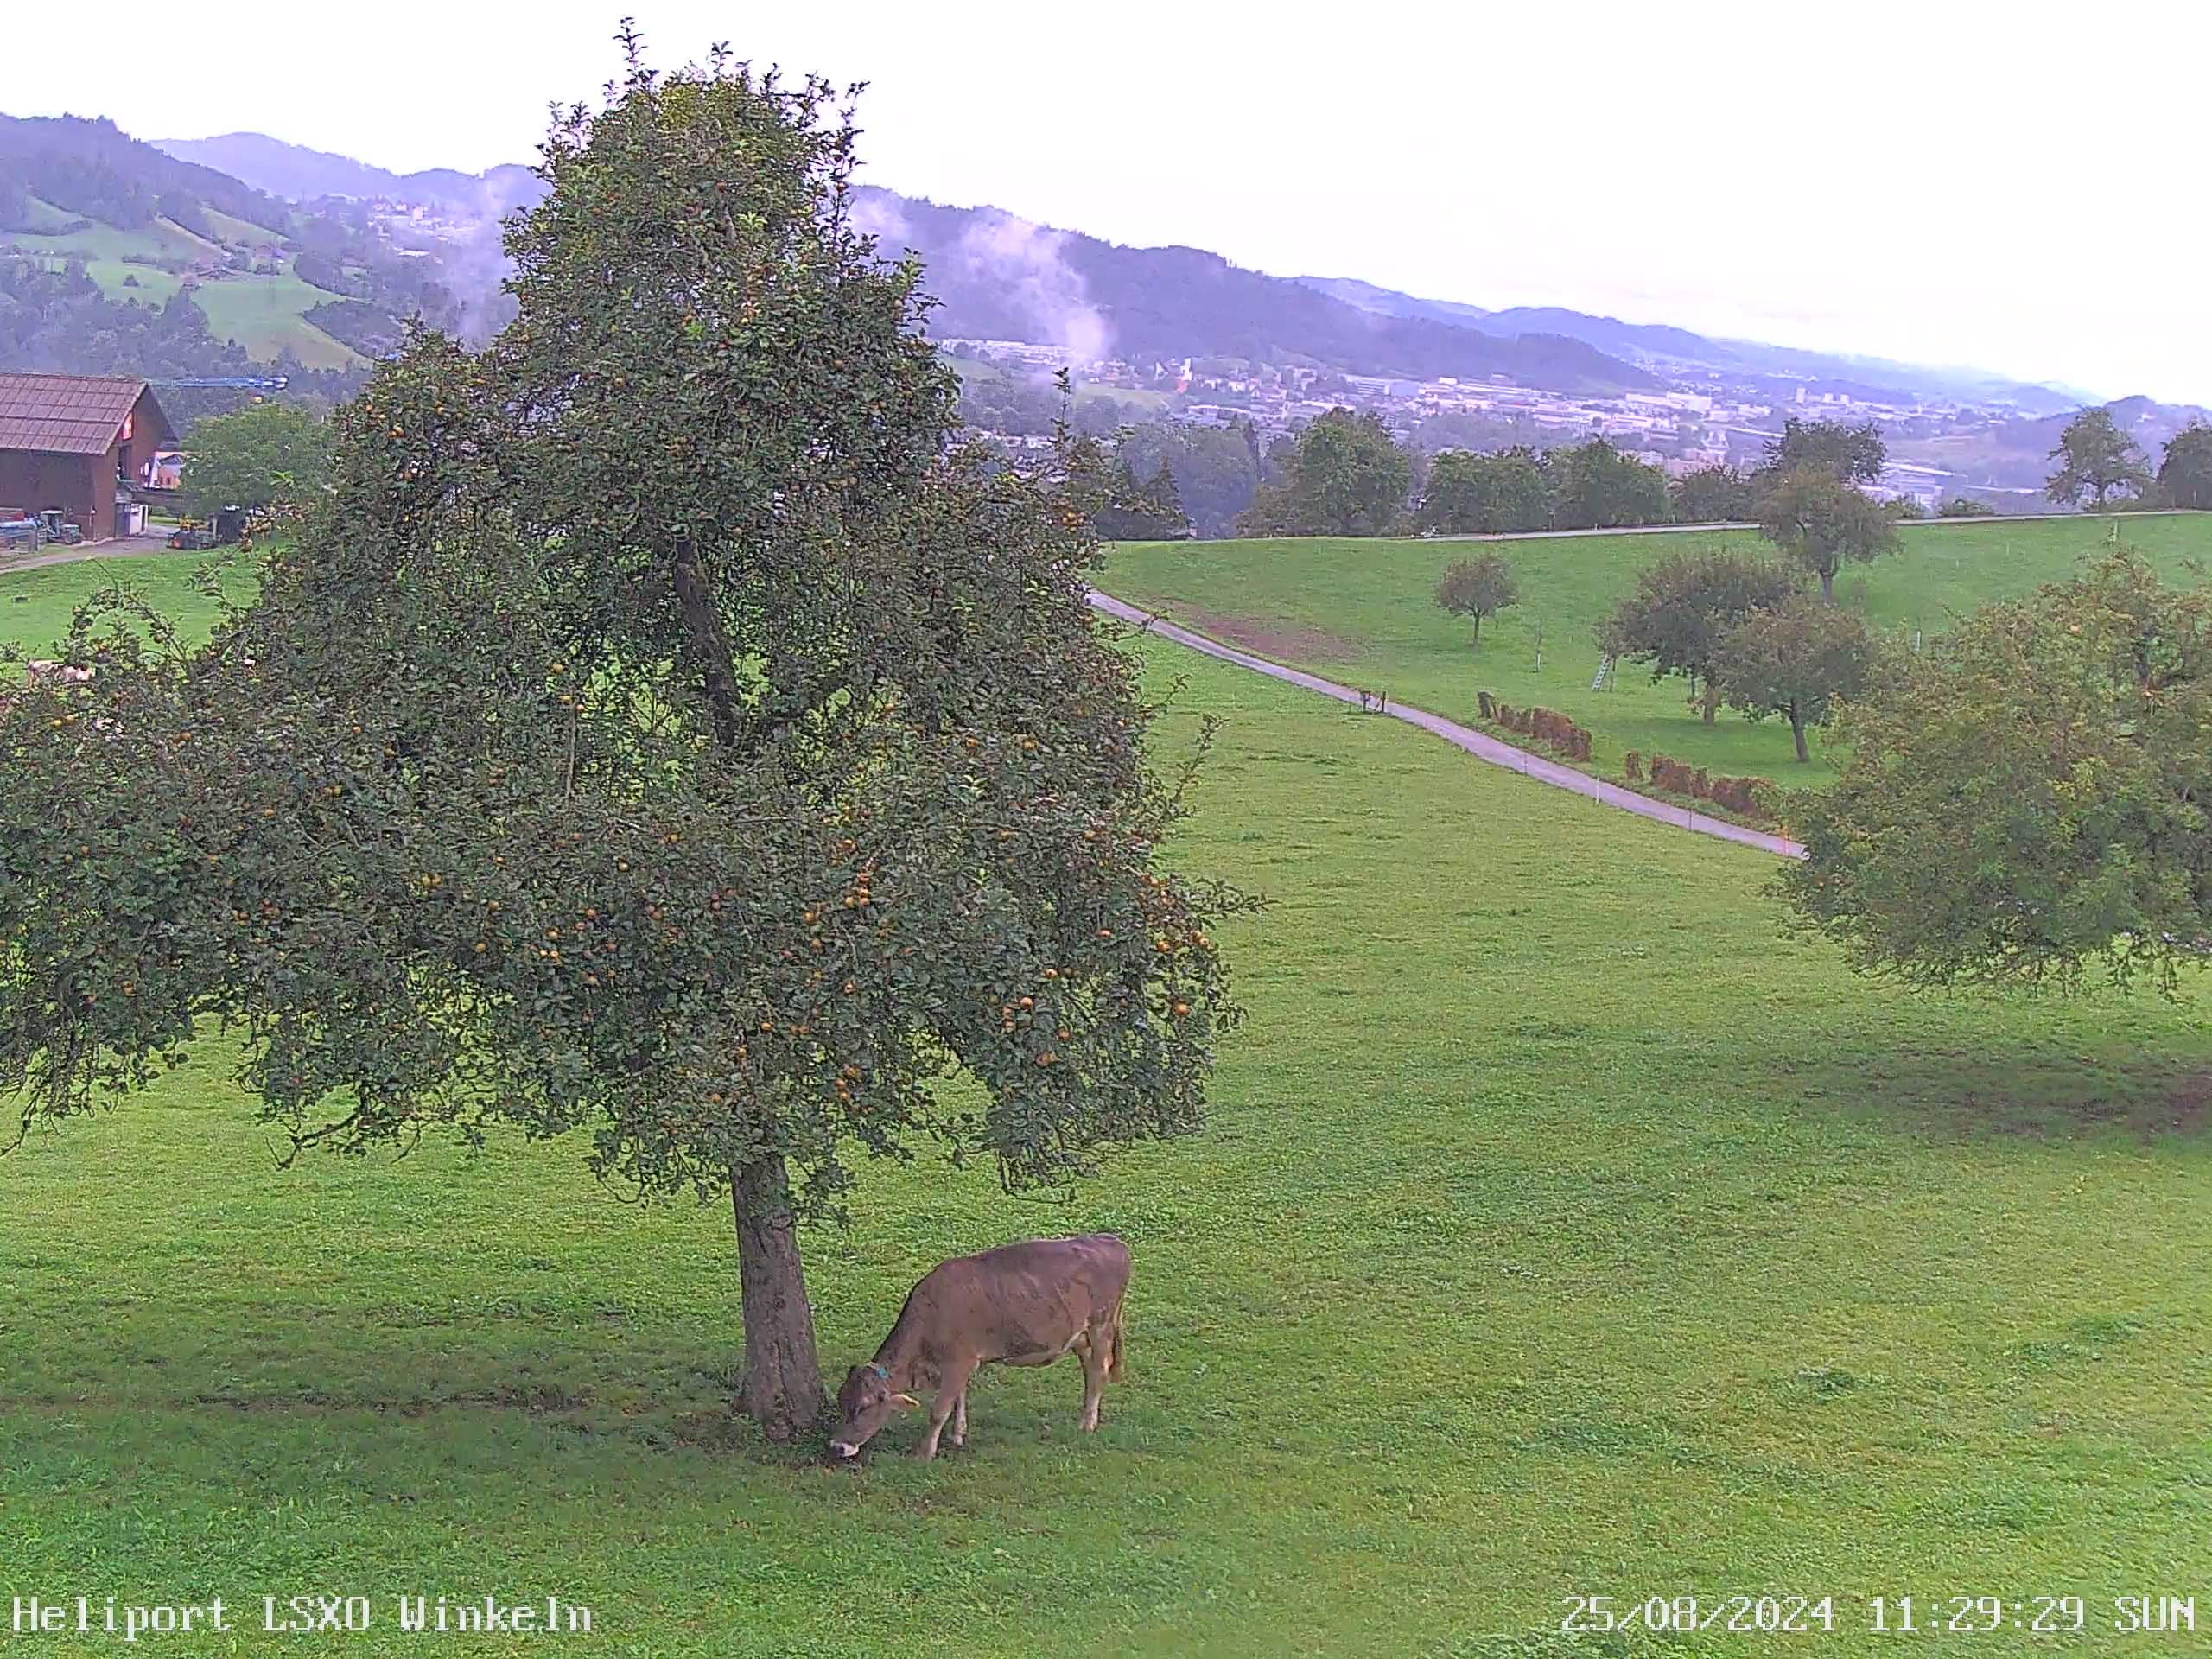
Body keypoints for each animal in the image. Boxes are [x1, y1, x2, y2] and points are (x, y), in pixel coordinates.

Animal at [831, 1230, 1141, 1459]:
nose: (837, 1447)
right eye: (841, 1401)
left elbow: (938, 1410)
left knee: (1099, 1372)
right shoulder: (961, 1364)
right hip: (1080, 1335)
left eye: (863, 1407)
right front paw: (958, 1435)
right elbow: (959, 1398)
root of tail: (1111, 1240)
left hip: (1101, 1325)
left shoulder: (959, 1361)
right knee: (1089, 1371)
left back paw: (1087, 1424)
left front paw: (925, 1453)